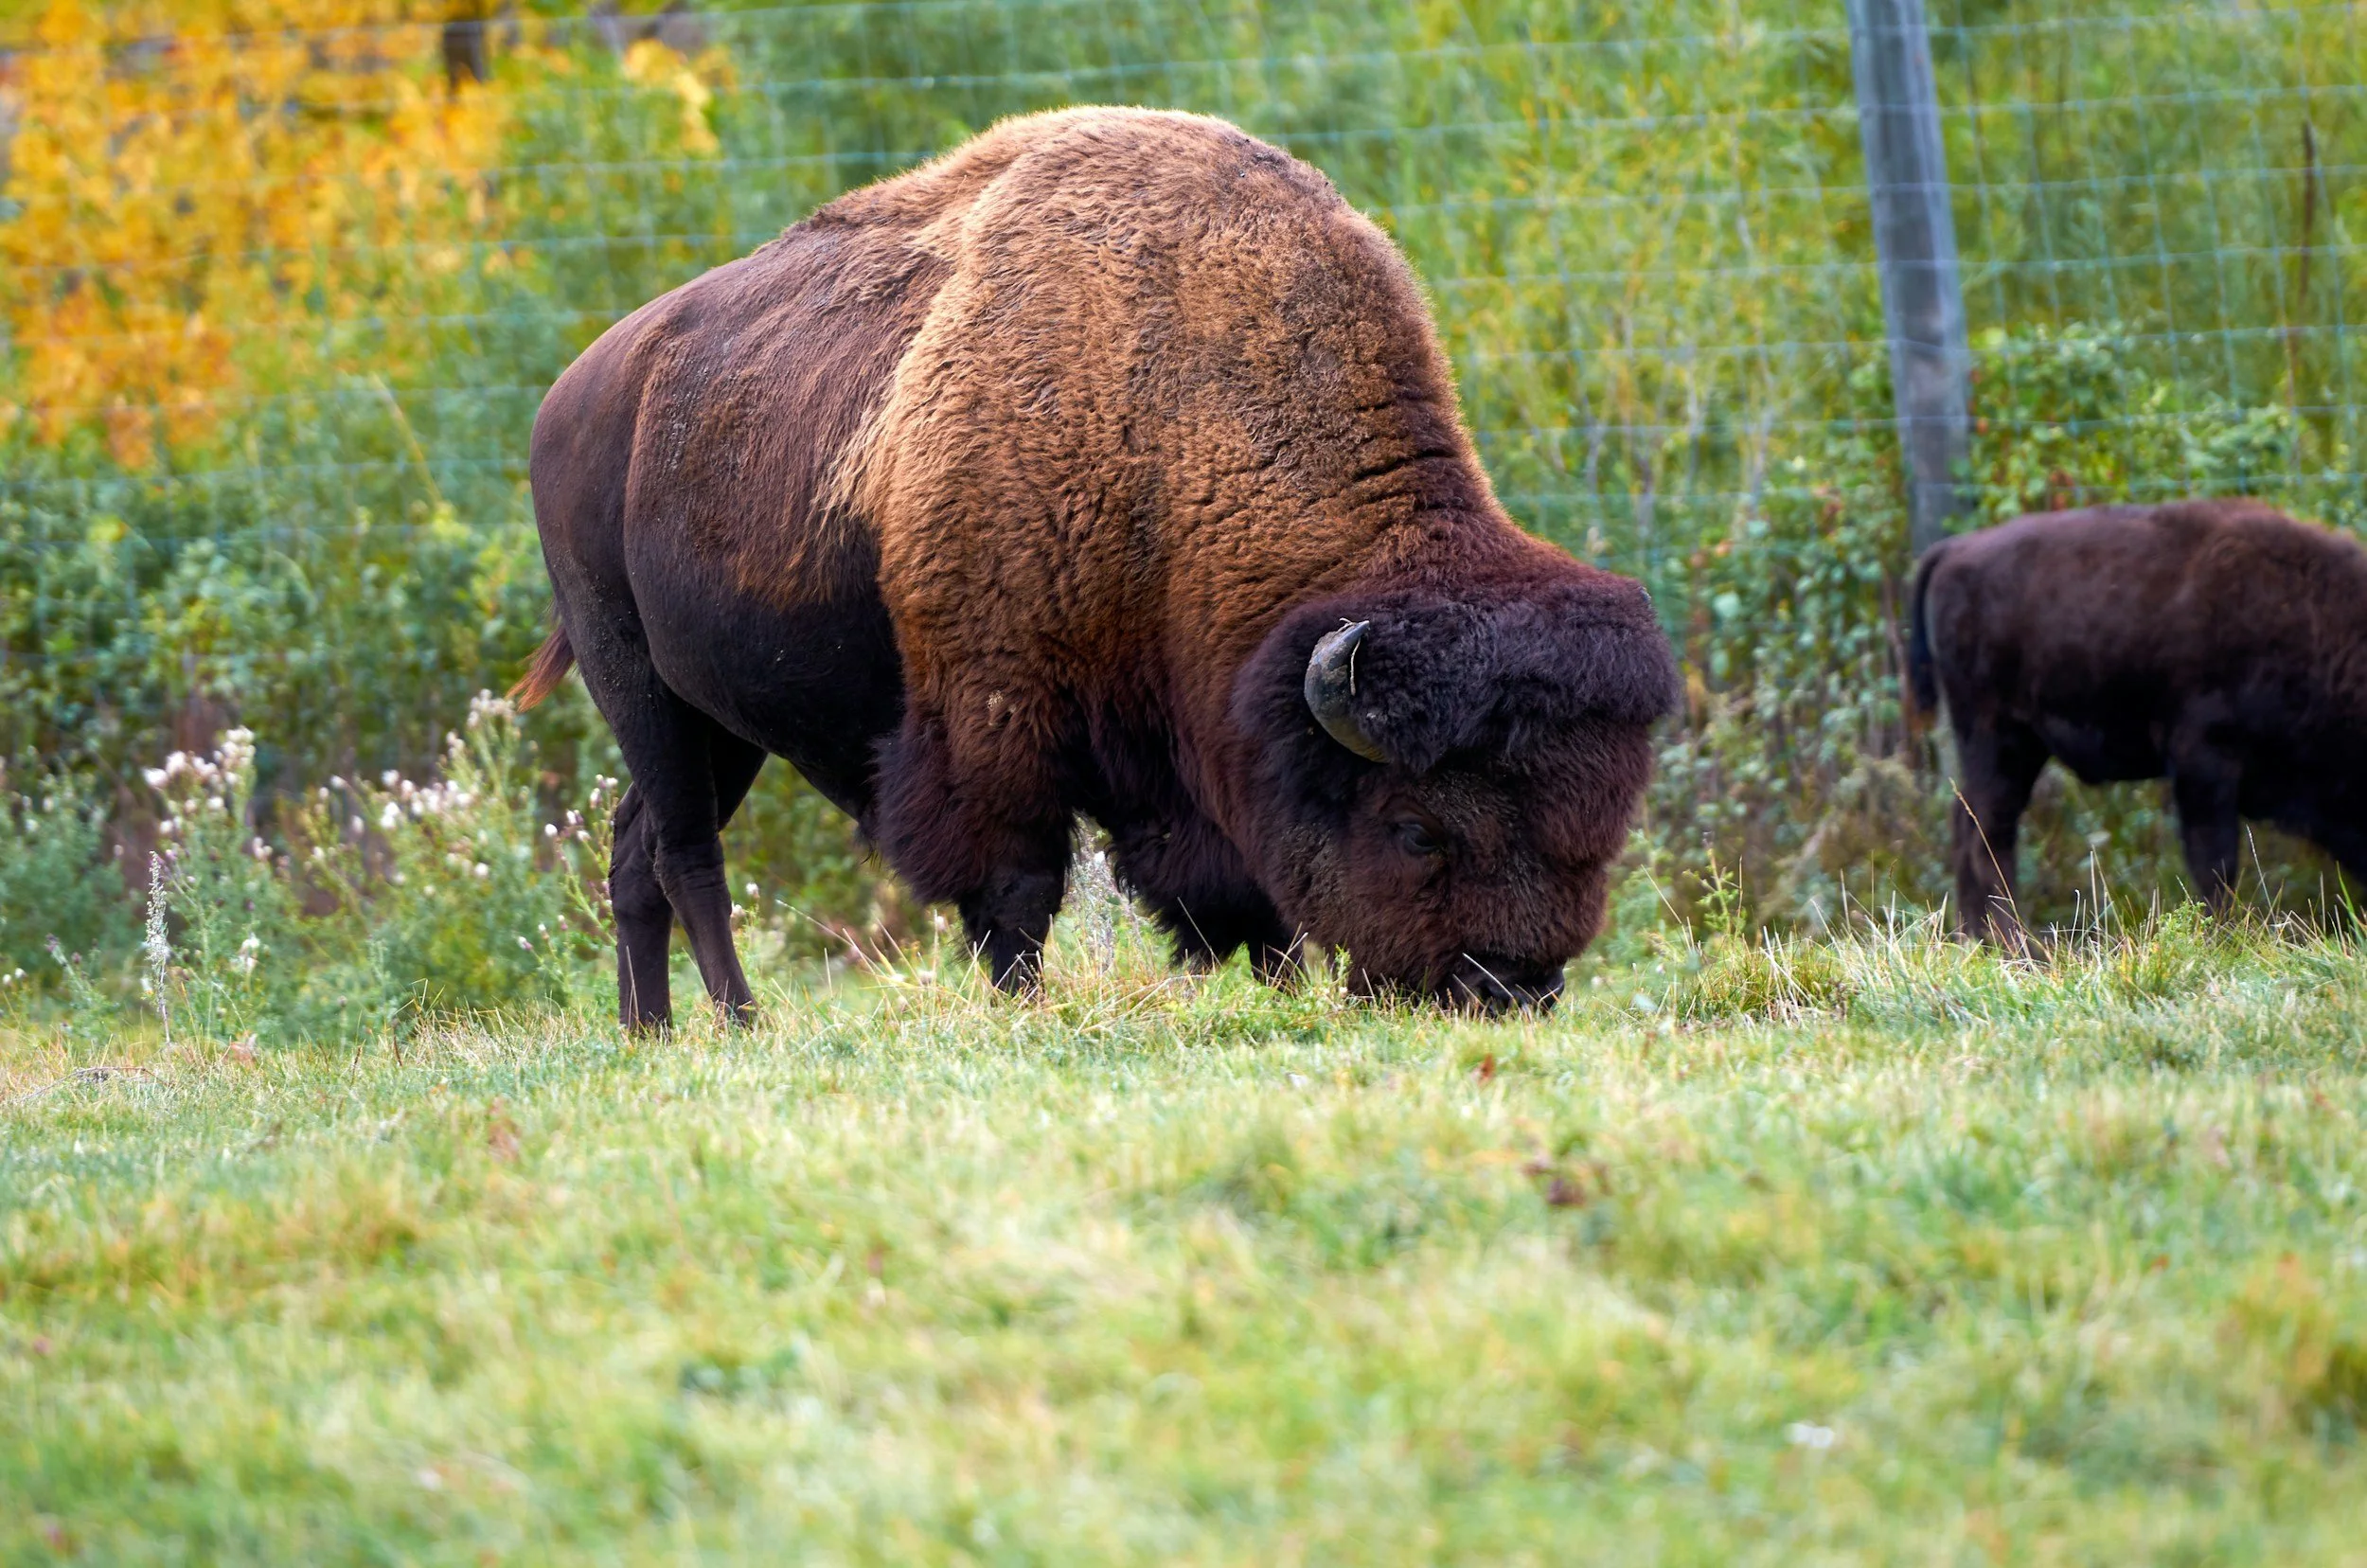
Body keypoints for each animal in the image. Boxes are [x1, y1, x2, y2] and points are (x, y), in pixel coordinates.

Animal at [517, 107, 1679, 1026]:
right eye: (1415, 829)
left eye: (1603, 826)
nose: (1510, 989)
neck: (1168, 421)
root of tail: (574, 392)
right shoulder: (992, 715)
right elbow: (1016, 886)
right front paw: (1026, 1008)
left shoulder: (1173, 748)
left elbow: (1233, 895)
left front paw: (1273, 990)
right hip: (639, 685)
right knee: (685, 853)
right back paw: (741, 1022)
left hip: (720, 723)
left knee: (633, 848)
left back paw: (649, 1032)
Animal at [1909, 498, 2367, 937]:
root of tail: (1954, 550)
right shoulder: (2204, 761)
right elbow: (2215, 864)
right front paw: (2225, 936)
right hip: (1996, 736)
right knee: (1989, 830)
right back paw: (2013, 942)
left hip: (2018, 746)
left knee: (1971, 823)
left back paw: (1977, 938)